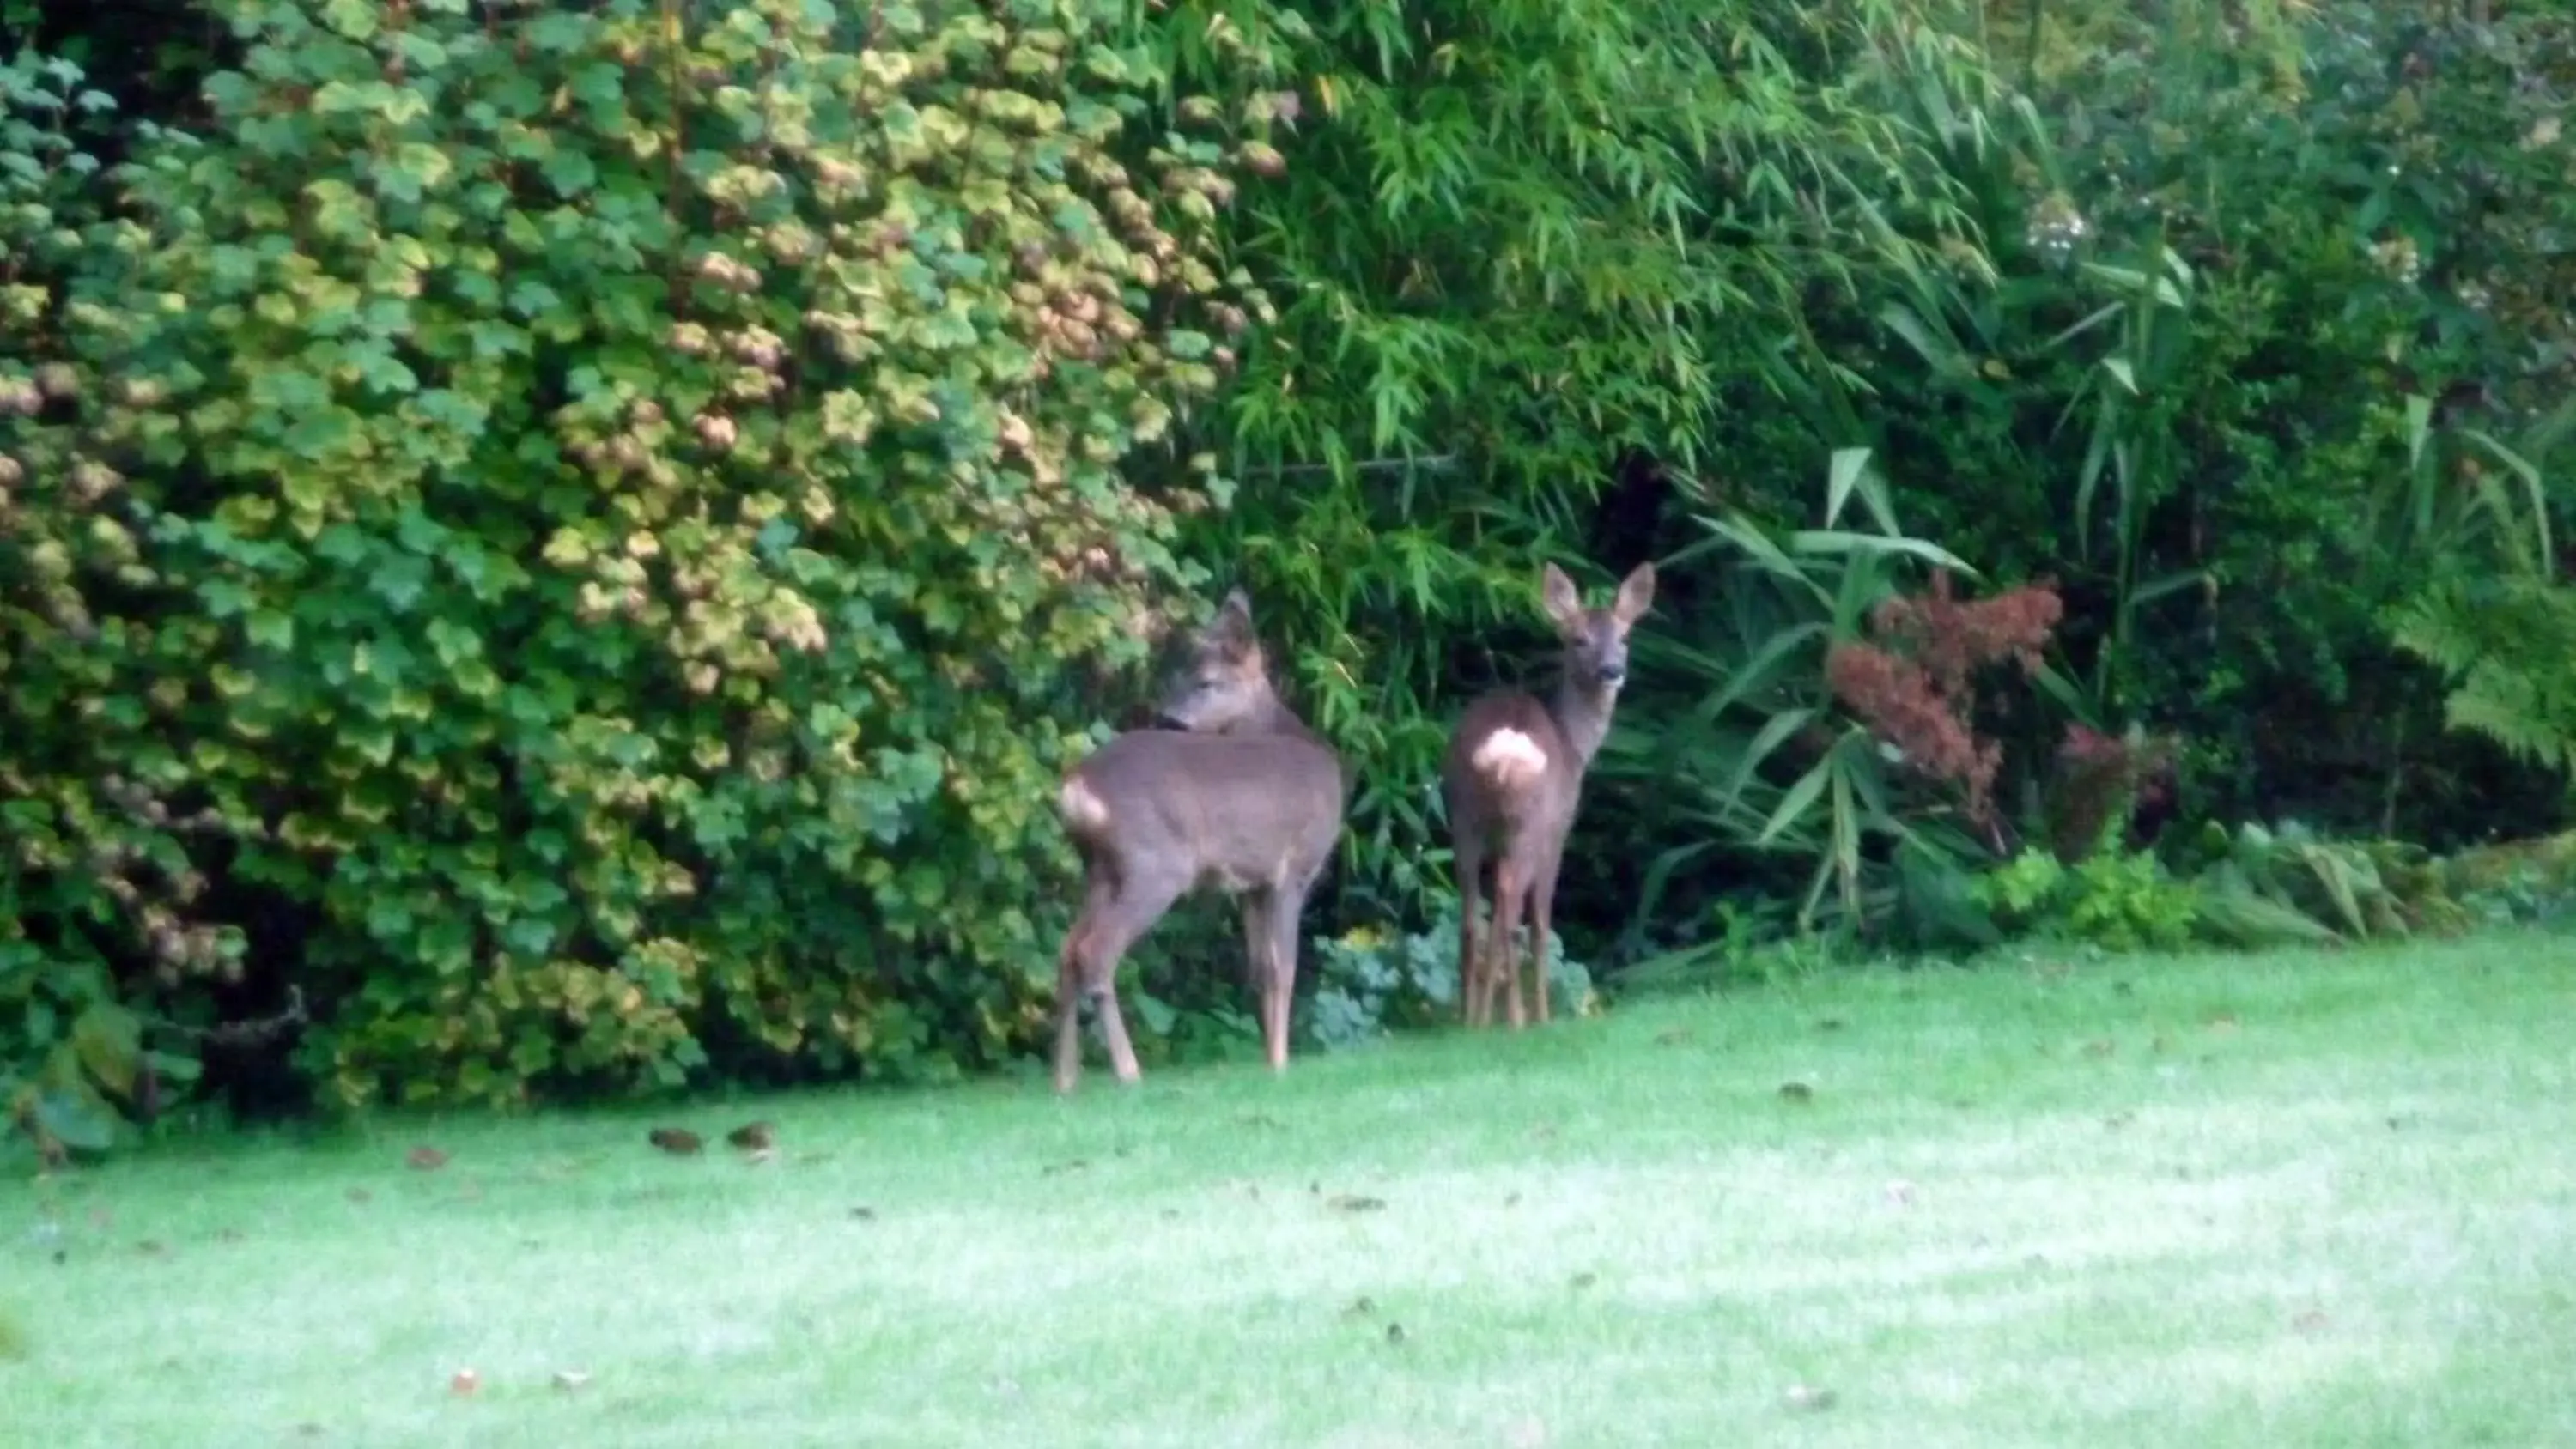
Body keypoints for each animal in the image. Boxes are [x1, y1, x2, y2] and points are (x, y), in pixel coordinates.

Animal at [1046, 586, 1350, 1091]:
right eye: (1179, 678)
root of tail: (1076, 788)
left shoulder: (1252, 885)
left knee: (1068, 950)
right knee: (1097, 952)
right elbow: (1284, 968)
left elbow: (1258, 967)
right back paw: (1128, 1072)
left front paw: (1268, 1060)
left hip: (1101, 868)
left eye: (1205, 682)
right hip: (1155, 865)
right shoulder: (1295, 868)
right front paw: (1282, 1063)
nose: (1169, 718)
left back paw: (1064, 1079)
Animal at [1443, 558, 1659, 1029]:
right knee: (1509, 905)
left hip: (1463, 815)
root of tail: (1505, 746)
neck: (1574, 742)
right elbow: (1543, 921)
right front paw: (1543, 1014)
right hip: (1528, 821)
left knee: (1470, 913)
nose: (1612, 671)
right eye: (1578, 639)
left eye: (1624, 637)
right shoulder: (1559, 828)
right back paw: (1514, 1018)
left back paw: (1469, 1019)